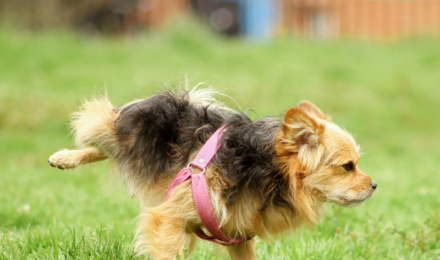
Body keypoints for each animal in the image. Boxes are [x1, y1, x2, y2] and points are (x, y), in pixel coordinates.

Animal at [49, 86, 378, 258]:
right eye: (348, 167)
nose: (375, 185)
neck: (266, 171)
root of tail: (186, 101)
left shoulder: (237, 234)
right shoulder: (168, 217)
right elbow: (166, 252)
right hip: (117, 129)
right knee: (98, 125)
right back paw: (66, 156)